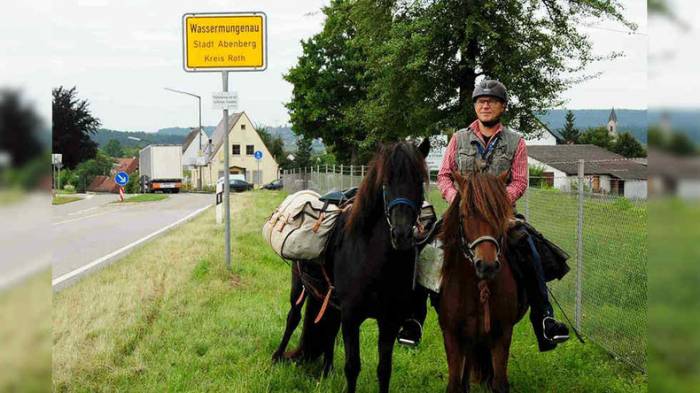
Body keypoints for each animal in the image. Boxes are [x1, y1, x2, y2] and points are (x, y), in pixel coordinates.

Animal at [272, 140, 426, 392]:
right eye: (385, 183)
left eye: (420, 180)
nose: (401, 234)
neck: (373, 261)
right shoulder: (352, 317)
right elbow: (353, 367)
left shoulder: (389, 320)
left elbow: (384, 370)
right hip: (299, 285)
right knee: (293, 317)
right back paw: (277, 356)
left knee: (329, 328)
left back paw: (326, 370)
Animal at [438, 171, 524, 392]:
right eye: (464, 215)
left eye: (500, 215)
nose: (487, 266)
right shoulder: (452, 335)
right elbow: (454, 384)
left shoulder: (502, 334)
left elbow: (500, 383)